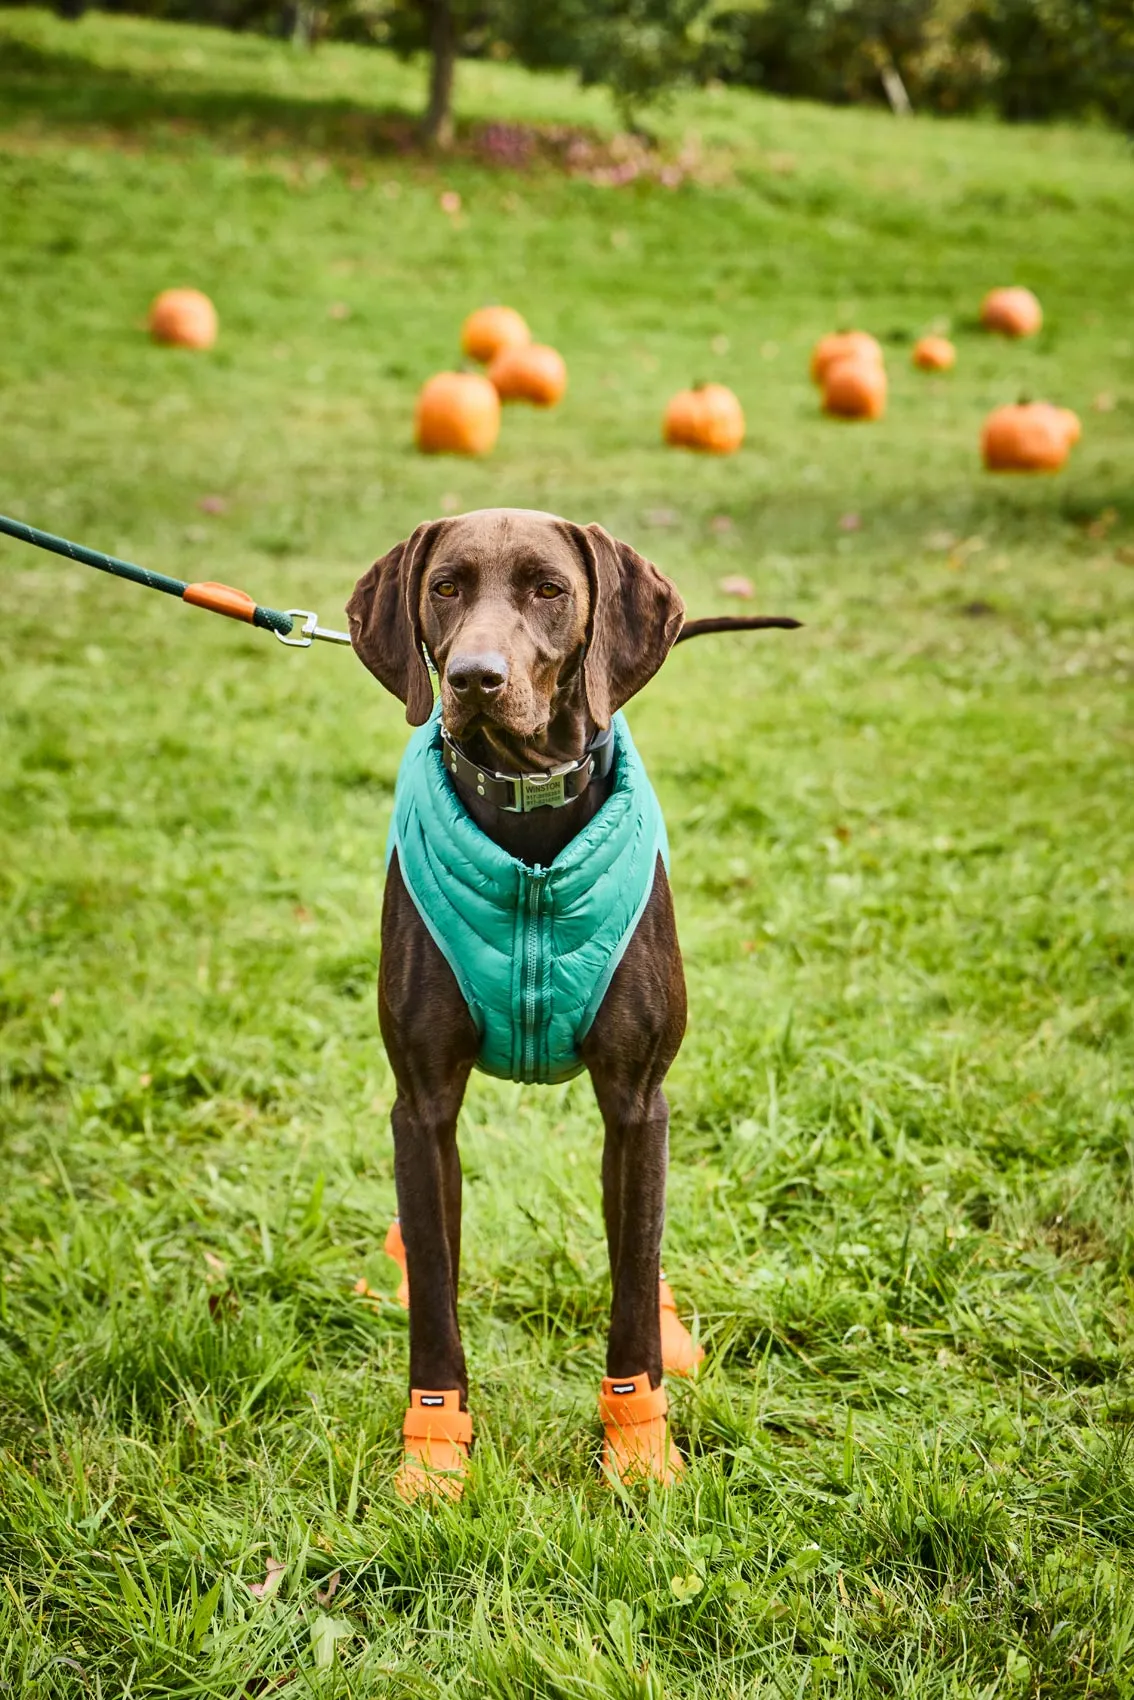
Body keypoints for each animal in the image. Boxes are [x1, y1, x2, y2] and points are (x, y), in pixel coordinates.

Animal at [346, 510, 799, 1496]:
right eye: (445, 587)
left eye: (549, 589)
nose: (475, 678)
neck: (530, 822)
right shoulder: (423, 1106)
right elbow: (435, 1290)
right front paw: (433, 1456)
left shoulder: (636, 1099)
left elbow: (631, 1276)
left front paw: (640, 1447)